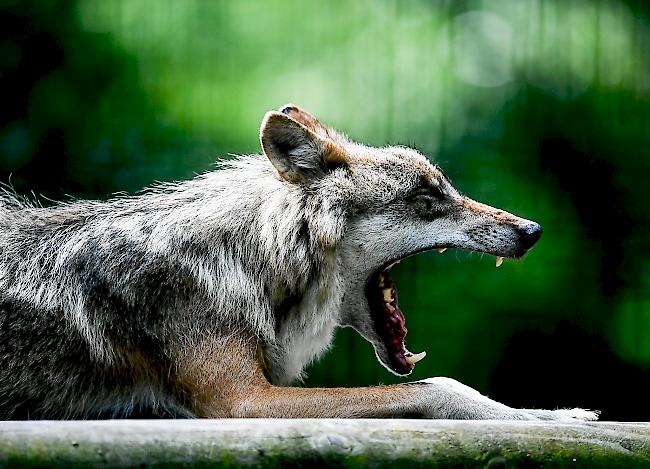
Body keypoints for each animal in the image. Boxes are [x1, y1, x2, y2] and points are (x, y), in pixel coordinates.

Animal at [0, 104, 596, 418]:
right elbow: (442, 387)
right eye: (429, 196)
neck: (250, 260)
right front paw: (556, 419)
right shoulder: (243, 402)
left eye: (444, 186)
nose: (532, 231)